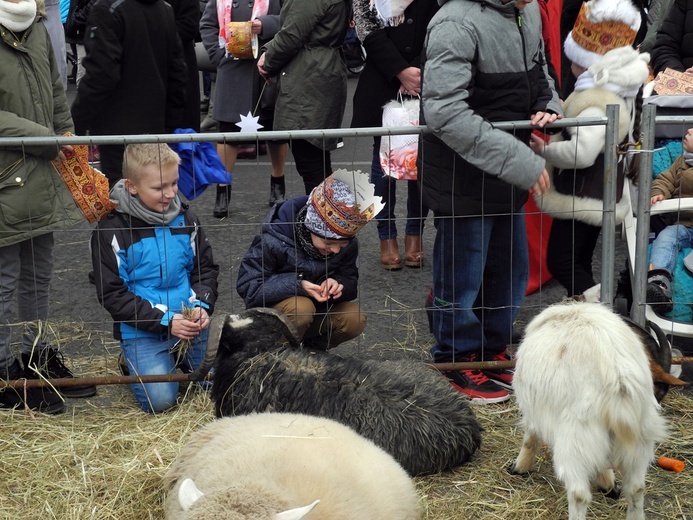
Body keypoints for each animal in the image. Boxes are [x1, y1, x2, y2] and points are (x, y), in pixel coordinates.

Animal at [508, 300, 676, 520]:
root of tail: (619, 383)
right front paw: (608, 484)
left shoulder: (533, 407)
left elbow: (530, 436)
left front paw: (519, 467)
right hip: (640, 443)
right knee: (636, 489)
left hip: (576, 442)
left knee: (579, 494)